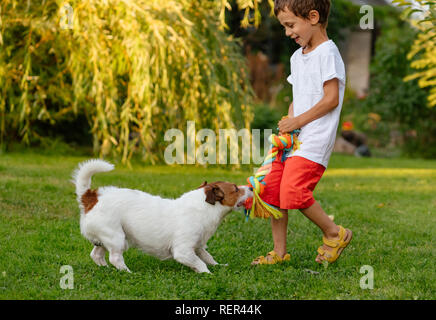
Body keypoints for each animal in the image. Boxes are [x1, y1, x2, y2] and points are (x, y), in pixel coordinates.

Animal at [72, 159, 252, 274]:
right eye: (236, 188)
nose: (250, 187)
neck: (204, 207)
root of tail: (90, 197)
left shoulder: (198, 247)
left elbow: (208, 257)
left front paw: (219, 266)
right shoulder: (183, 251)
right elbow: (200, 263)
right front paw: (208, 274)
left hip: (104, 240)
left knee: (96, 255)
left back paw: (106, 269)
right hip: (117, 237)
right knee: (115, 258)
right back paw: (128, 272)